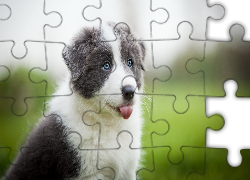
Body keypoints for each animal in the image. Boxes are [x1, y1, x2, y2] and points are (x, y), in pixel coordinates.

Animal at [2, 22, 146, 180]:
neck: (107, 123)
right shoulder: (89, 173)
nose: (129, 91)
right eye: (106, 65)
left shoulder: (128, 170)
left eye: (130, 62)